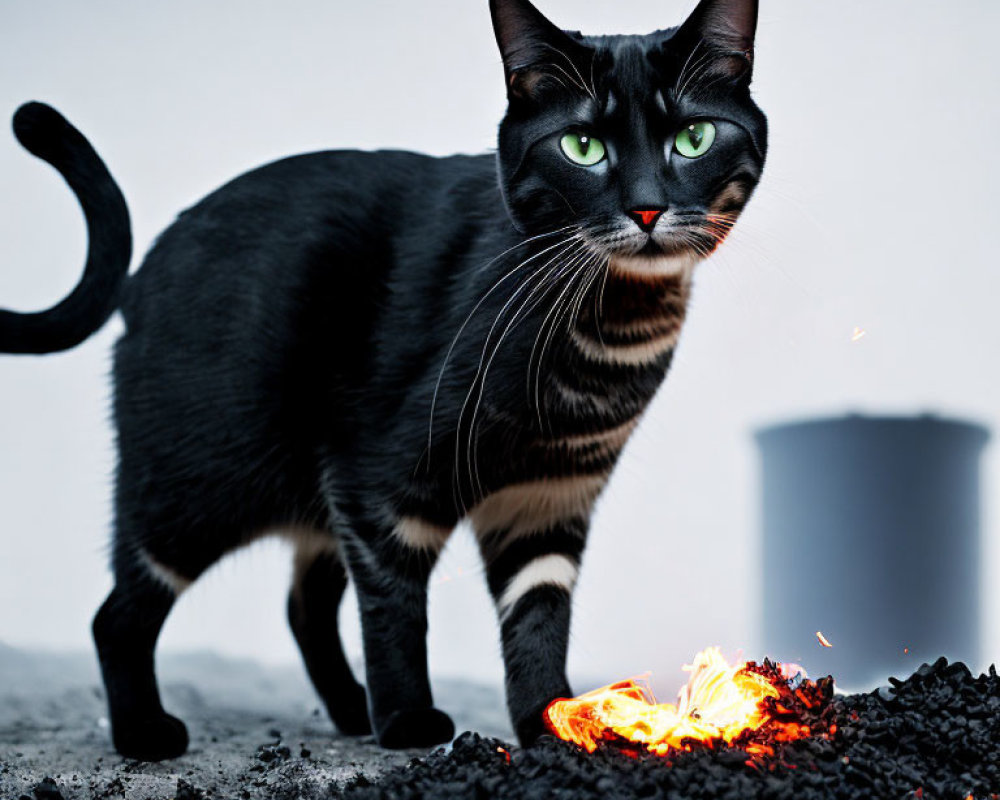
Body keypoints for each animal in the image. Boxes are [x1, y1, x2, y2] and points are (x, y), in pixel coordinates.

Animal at [0, 0, 764, 764]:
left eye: (693, 137)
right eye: (583, 146)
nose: (646, 207)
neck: (613, 327)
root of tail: (138, 277)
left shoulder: (546, 501)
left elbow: (539, 620)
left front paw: (550, 722)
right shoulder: (382, 483)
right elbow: (396, 608)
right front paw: (406, 721)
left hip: (305, 501)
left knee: (303, 605)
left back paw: (347, 709)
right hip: (193, 488)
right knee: (119, 614)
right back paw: (144, 732)